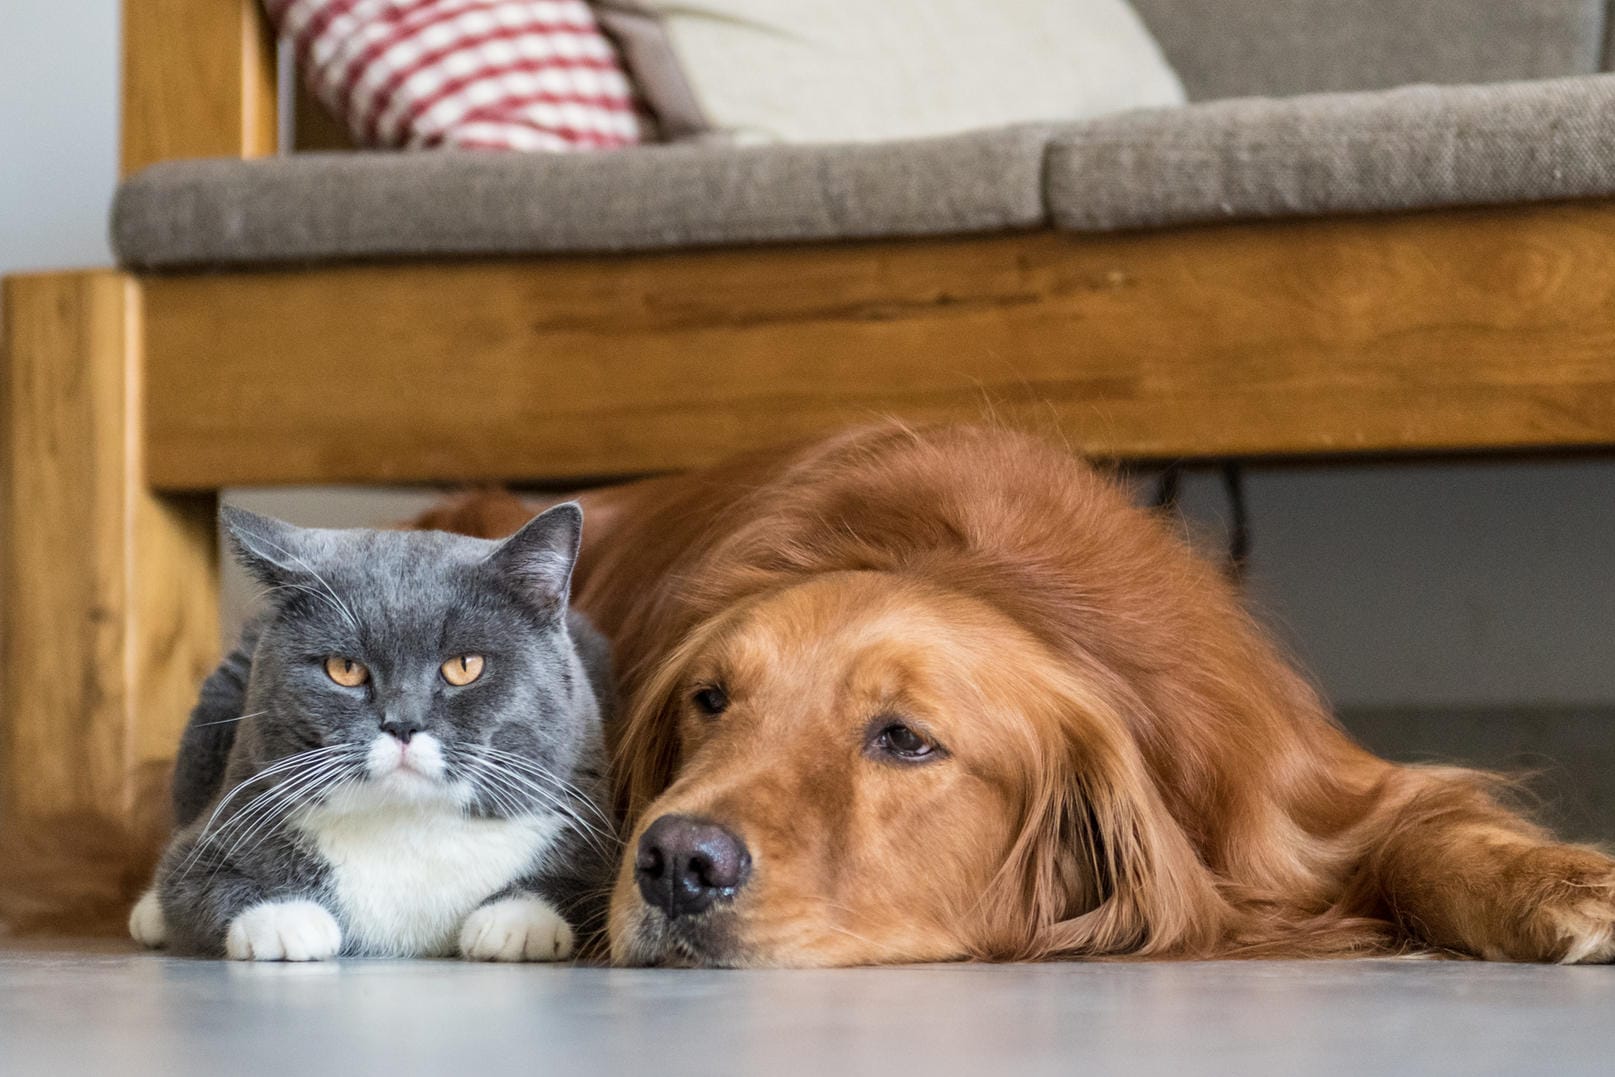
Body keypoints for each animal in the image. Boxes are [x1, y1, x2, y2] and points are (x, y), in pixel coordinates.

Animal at [125, 500, 613, 962]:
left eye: (465, 666)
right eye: (344, 669)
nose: (402, 723)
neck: (409, 826)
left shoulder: (589, 821)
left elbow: (582, 887)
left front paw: (517, 923)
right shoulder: (231, 812)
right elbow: (191, 880)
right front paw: (285, 920)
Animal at [419, 426, 1615, 968]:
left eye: (905, 740)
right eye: (707, 701)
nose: (674, 863)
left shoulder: (1300, 797)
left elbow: (1429, 829)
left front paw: (1566, 884)